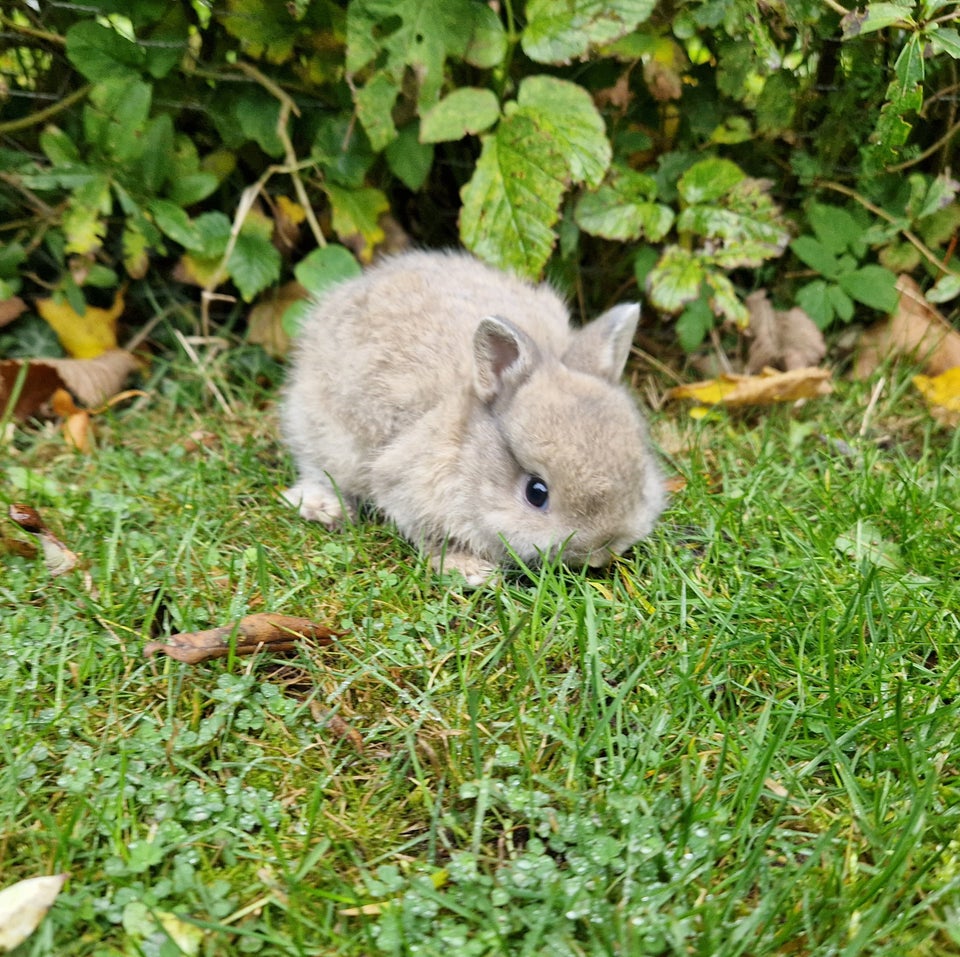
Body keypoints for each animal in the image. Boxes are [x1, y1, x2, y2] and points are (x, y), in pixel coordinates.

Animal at [282, 248, 664, 584]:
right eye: (536, 492)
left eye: (639, 473)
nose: (599, 552)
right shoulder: (407, 486)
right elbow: (434, 537)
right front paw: (470, 571)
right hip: (321, 428)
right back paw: (324, 507)